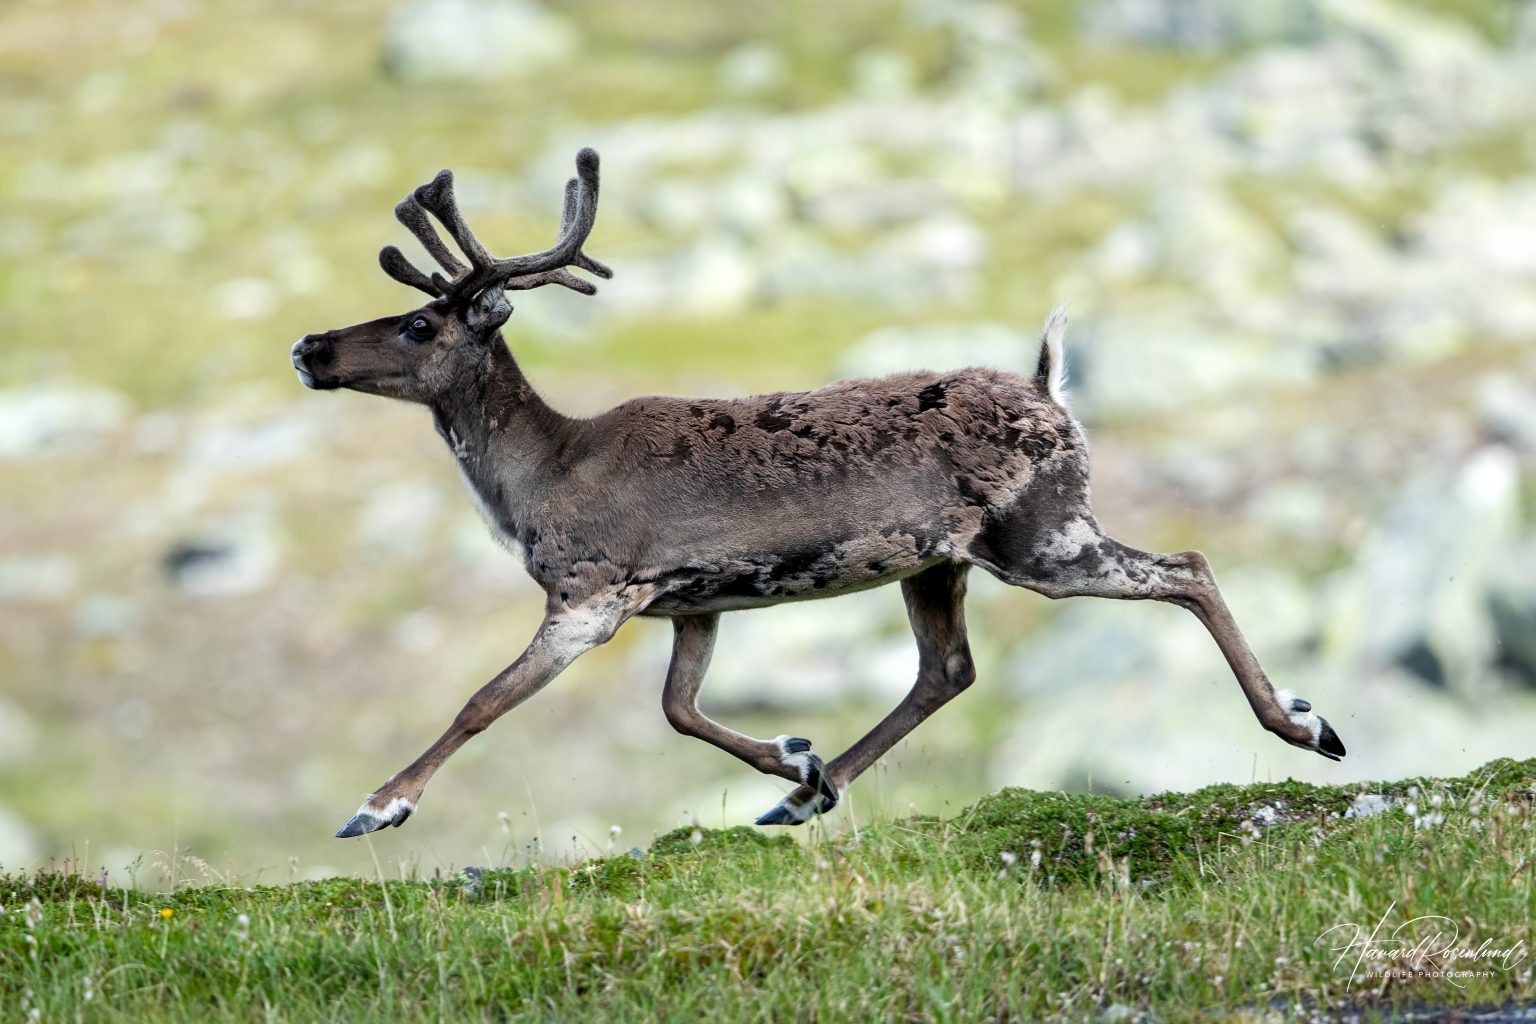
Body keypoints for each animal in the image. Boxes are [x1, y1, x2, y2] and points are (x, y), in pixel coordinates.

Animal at [291, 148, 1346, 838]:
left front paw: (377, 805)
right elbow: (678, 710)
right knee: (948, 670)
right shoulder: (692, 603)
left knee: (1187, 565)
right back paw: (802, 794)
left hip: (1043, 536)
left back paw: (1306, 724)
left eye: (422, 325)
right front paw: (794, 757)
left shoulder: (591, 592)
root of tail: (1051, 385)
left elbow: (482, 702)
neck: (537, 476)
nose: (309, 345)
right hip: (940, 560)